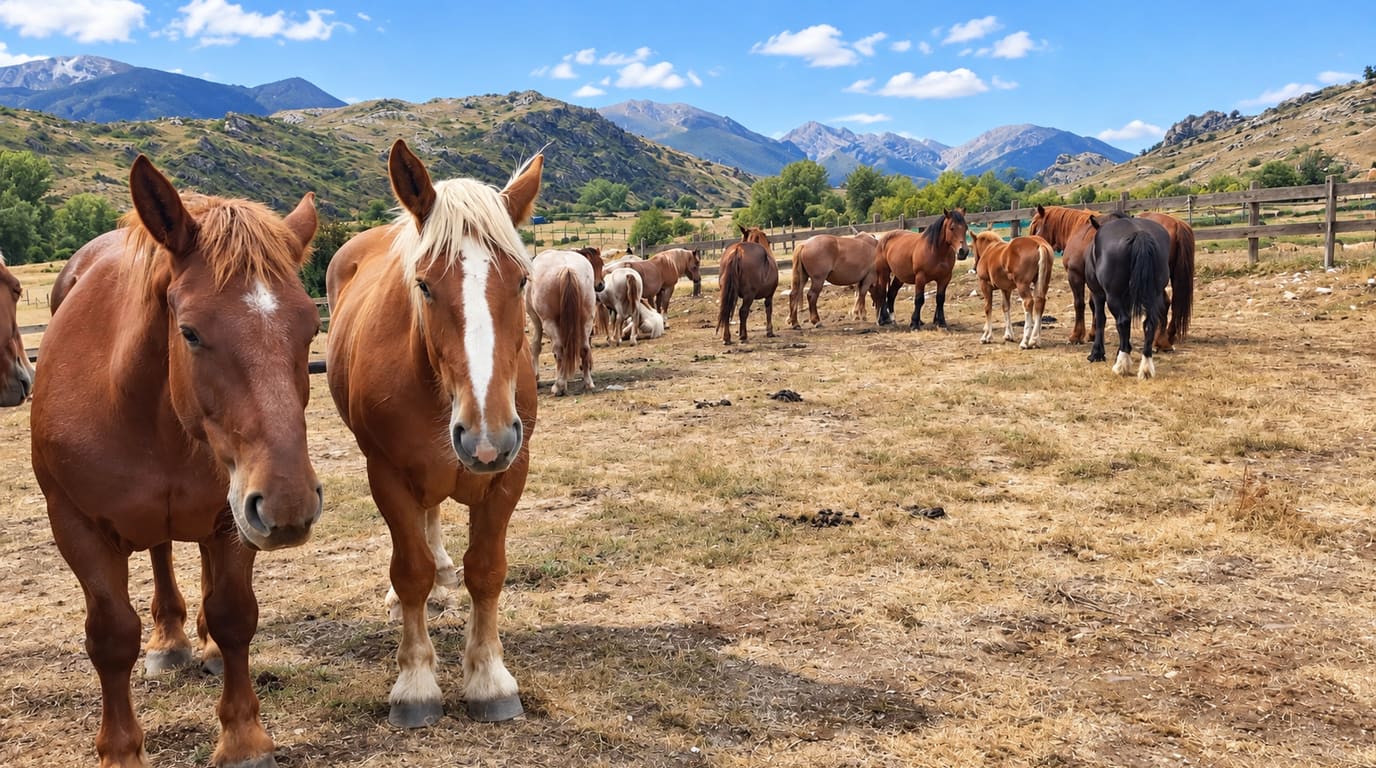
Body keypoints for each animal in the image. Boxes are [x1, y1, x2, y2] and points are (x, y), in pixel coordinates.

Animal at [29, 155, 321, 768]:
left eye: (310, 327)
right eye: (189, 332)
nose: (289, 504)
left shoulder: (233, 518)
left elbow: (234, 615)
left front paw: (243, 739)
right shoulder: (75, 526)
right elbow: (111, 637)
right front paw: (120, 751)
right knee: (160, 554)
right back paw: (169, 641)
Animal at [325, 139, 542, 728]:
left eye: (521, 280)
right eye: (423, 284)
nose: (487, 437)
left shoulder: (509, 474)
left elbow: (486, 570)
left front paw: (489, 678)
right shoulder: (387, 475)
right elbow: (410, 572)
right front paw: (416, 683)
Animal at [528, 249, 598, 395]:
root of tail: (567, 269)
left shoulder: (536, 319)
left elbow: (536, 345)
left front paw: (536, 378)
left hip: (549, 322)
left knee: (559, 350)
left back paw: (558, 387)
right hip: (586, 321)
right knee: (584, 349)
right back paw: (588, 383)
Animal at [1030, 205, 1195, 350]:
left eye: (1035, 225)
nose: (1033, 242)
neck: (1077, 231)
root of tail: (1177, 223)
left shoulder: (1075, 275)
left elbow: (1080, 304)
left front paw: (1077, 336)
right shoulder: (1094, 281)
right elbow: (1094, 305)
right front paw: (1092, 333)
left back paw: (1160, 340)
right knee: (1167, 303)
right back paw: (1164, 339)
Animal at [1085, 213, 1170, 378]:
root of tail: (1140, 234)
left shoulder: (1098, 294)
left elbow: (1100, 320)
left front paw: (1097, 353)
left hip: (1113, 296)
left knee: (1123, 321)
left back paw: (1121, 365)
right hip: (1154, 295)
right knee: (1150, 323)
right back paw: (1146, 367)